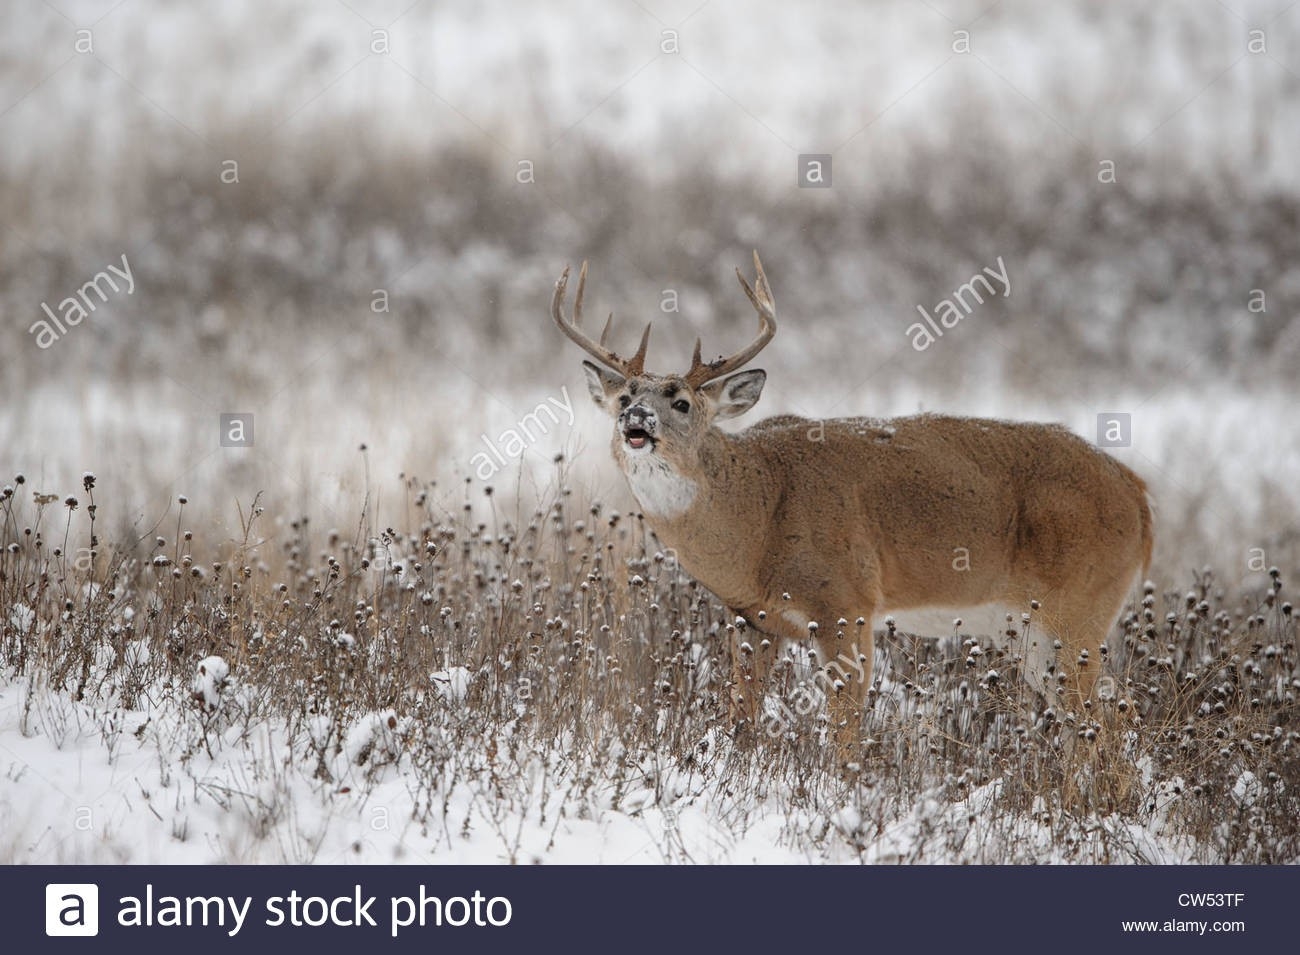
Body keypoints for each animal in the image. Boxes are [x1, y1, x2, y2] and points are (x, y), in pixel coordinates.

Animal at [553, 252, 1154, 764]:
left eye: (679, 401)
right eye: (625, 396)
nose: (635, 420)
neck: (759, 516)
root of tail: (1140, 497)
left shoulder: (848, 599)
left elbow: (845, 725)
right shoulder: (751, 617)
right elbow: (740, 715)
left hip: (1080, 605)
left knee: (1109, 720)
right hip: (1033, 630)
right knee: (1097, 722)